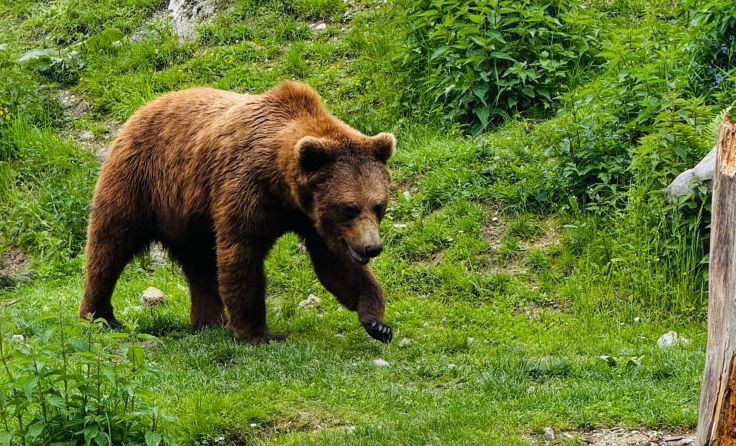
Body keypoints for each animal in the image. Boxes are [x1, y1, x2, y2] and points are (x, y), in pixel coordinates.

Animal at [78, 81, 395, 344]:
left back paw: (209, 321)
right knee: (110, 245)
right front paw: (258, 333)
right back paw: (100, 316)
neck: (282, 188)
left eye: (378, 205)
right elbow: (242, 256)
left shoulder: (311, 218)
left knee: (200, 264)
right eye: (349, 208)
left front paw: (377, 323)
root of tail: (142, 107)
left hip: (190, 216)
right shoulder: (245, 188)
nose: (372, 247)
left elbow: (335, 265)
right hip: (140, 182)